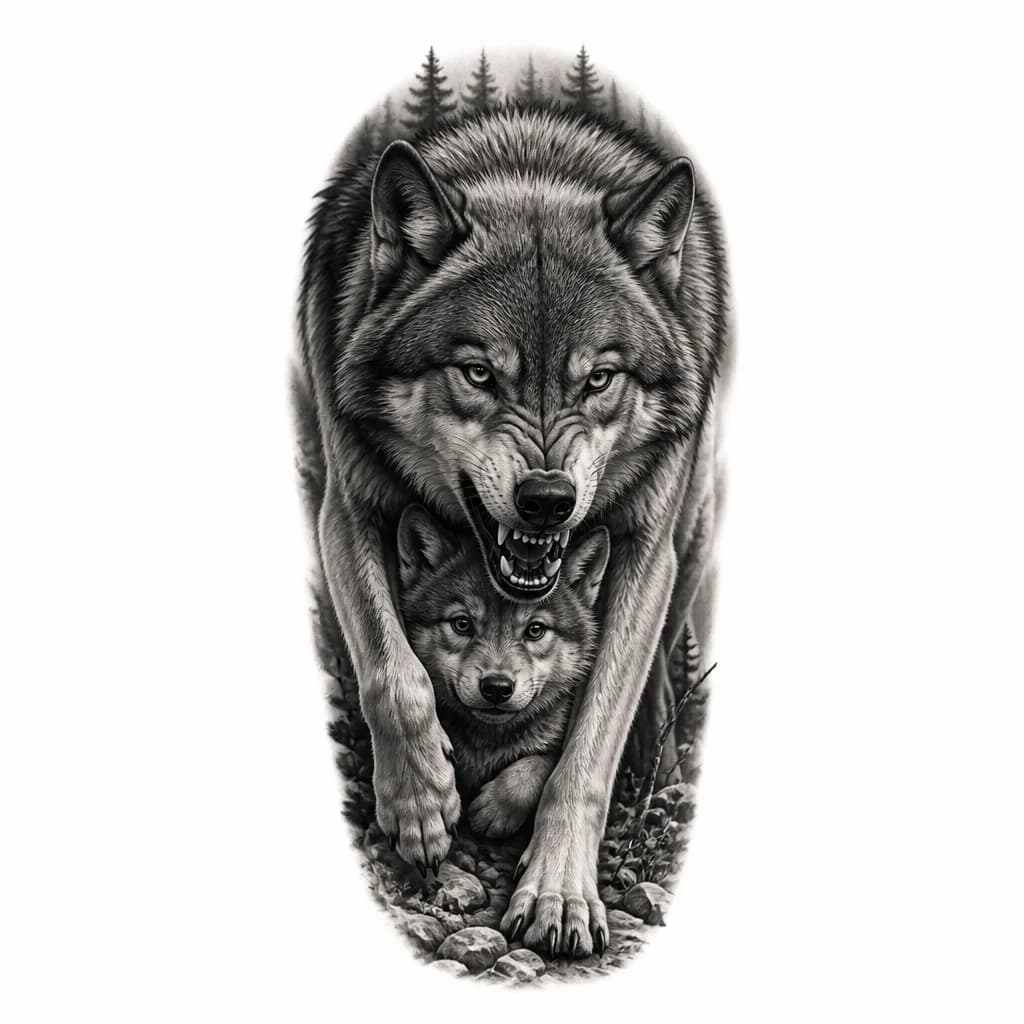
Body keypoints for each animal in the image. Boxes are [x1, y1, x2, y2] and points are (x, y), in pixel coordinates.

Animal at [396, 504, 609, 840]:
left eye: (535, 629)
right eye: (462, 623)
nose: (497, 687)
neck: (487, 743)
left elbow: (541, 765)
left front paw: (496, 808)